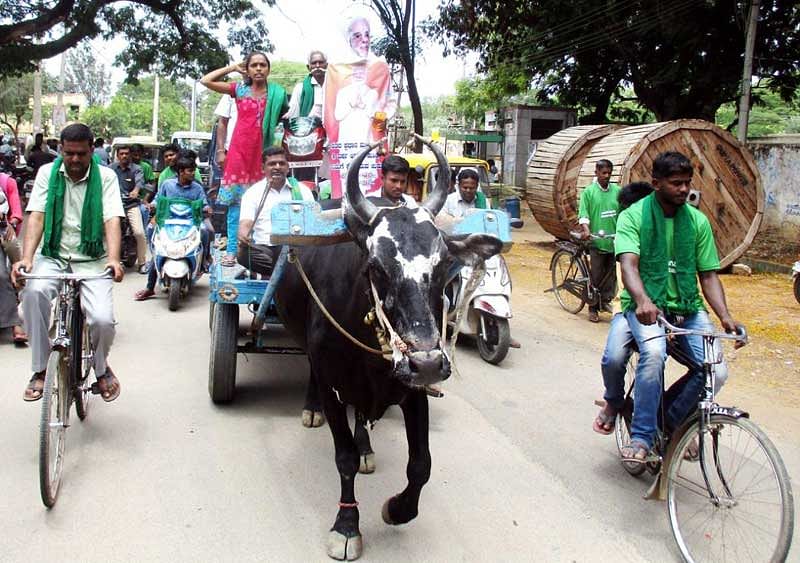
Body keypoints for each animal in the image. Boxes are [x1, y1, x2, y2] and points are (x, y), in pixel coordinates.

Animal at [276, 141, 500, 560]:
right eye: (376, 266)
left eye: (445, 264)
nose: (426, 364)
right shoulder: (334, 383)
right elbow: (343, 458)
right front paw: (346, 526)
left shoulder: (413, 390)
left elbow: (421, 464)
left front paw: (397, 509)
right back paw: (312, 409)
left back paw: (367, 446)